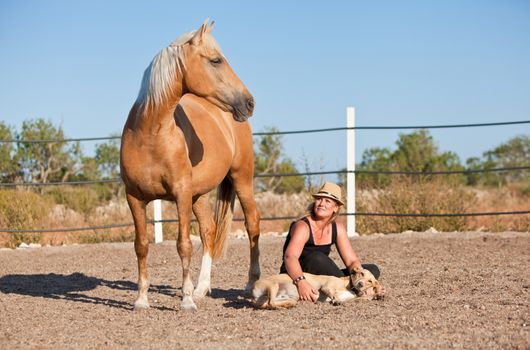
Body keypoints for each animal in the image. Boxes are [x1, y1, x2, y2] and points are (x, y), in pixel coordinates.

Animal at [120, 19, 260, 308]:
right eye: (216, 60)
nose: (249, 102)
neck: (150, 134)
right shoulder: (134, 198)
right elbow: (141, 246)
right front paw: (141, 299)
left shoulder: (181, 194)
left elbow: (183, 244)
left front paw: (185, 300)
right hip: (199, 195)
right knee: (209, 230)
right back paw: (202, 287)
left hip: (241, 179)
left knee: (252, 224)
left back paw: (251, 283)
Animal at [251, 268, 380, 308]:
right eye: (361, 274)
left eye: (370, 281)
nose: (360, 284)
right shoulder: (326, 287)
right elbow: (334, 294)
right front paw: (335, 300)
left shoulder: (351, 298)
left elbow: (363, 298)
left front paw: (378, 295)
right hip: (273, 285)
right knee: (271, 302)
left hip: (289, 297)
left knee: (271, 303)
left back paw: (286, 305)